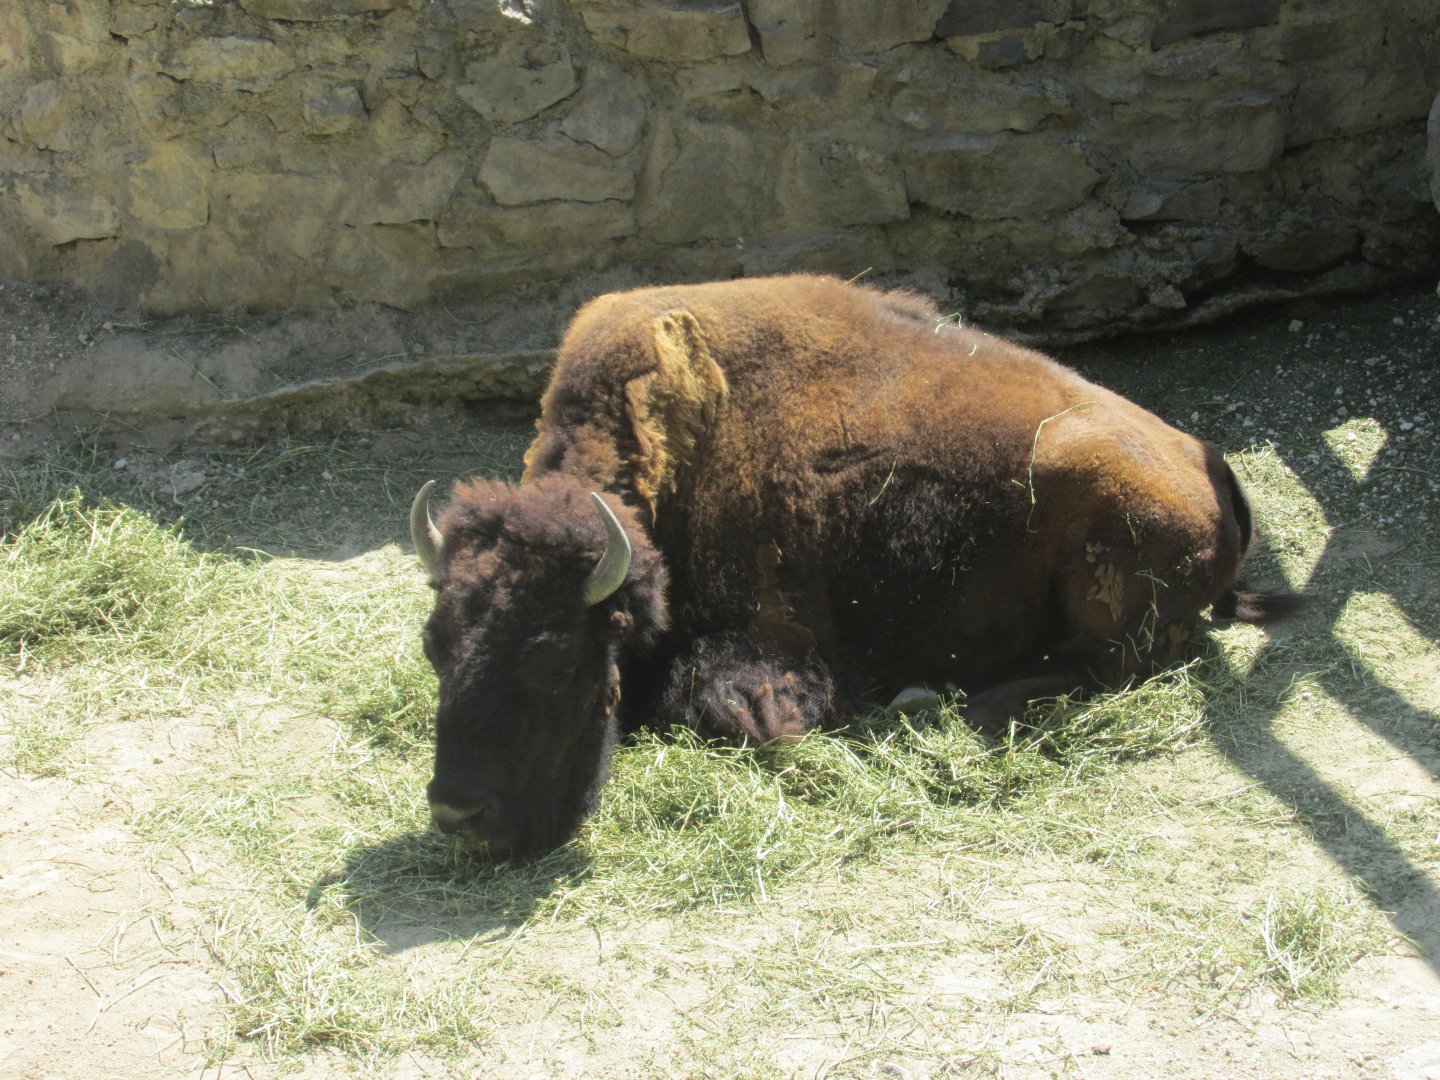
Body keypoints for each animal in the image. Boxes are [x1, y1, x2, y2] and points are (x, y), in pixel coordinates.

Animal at [410, 274, 1300, 857]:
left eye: (558, 661)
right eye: (434, 646)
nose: (457, 812)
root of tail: (1207, 460)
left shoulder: (775, 658)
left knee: (1106, 668)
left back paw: (943, 703)